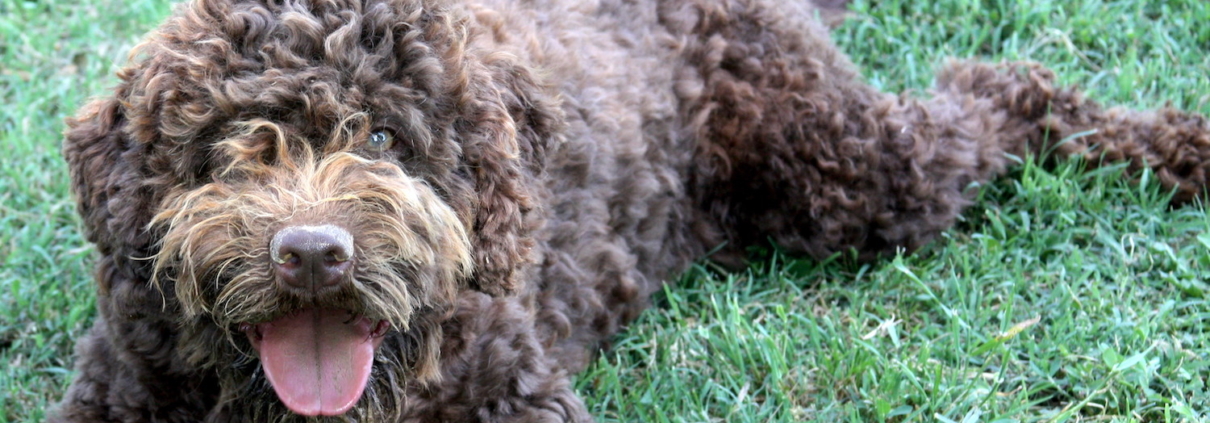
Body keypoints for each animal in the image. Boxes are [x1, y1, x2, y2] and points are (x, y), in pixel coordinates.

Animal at [47, 0, 1210, 420]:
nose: (312, 253)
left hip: (851, 171)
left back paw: (1172, 147)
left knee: (1001, 89)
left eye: (384, 138)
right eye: (221, 149)